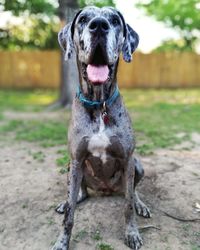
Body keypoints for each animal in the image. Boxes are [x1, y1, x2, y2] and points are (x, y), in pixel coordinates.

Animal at [52, 5, 151, 250]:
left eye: (114, 20)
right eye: (83, 19)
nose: (98, 26)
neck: (99, 105)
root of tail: (107, 189)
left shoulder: (127, 159)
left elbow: (127, 205)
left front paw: (132, 233)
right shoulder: (76, 159)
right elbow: (69, 215)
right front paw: (62, 241)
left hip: (137, 166)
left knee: (132, 191)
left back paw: (140, 204)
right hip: (70, 167)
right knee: (80, 193)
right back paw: (69, 199)